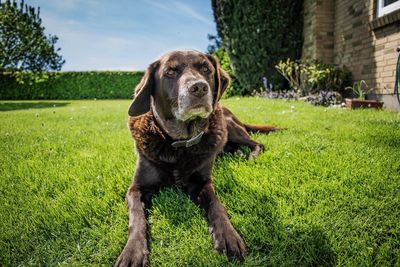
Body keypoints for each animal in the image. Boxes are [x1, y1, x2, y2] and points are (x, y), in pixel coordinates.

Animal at [115, 51, 278, 266]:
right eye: (170, 72)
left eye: (206, 69)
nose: (199, 87)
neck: (178, 144)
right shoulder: (136, 188)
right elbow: (137, 217)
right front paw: (132, 251)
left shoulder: (202, 182)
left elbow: (216, 205)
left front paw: (228, 236)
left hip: (230, 125)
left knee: (257, 143)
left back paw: (249, 156)